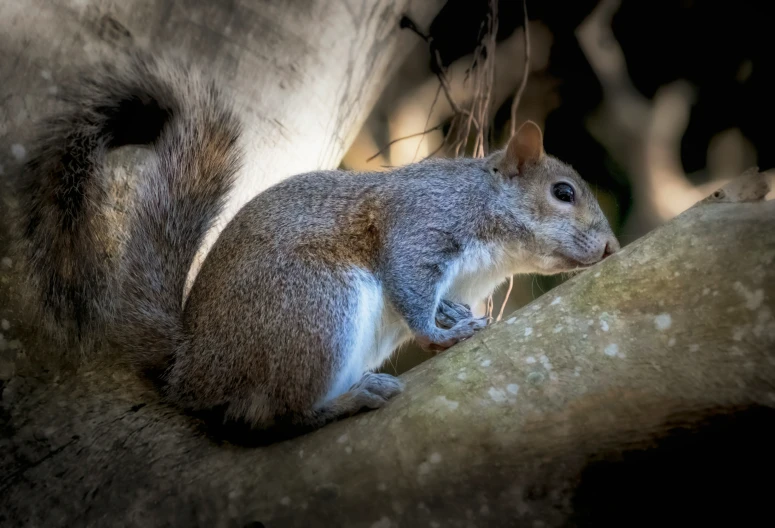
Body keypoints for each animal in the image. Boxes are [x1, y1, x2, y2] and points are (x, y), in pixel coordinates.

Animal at [18, 52, 620, 438]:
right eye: (563, 193)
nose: (613, 247)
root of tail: (193, 366)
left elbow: (438, 297)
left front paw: (456, 315)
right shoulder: (422, 223)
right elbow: (408, 278)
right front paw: (440, 334)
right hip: (314, 308)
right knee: (269, 415)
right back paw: (347, 401)